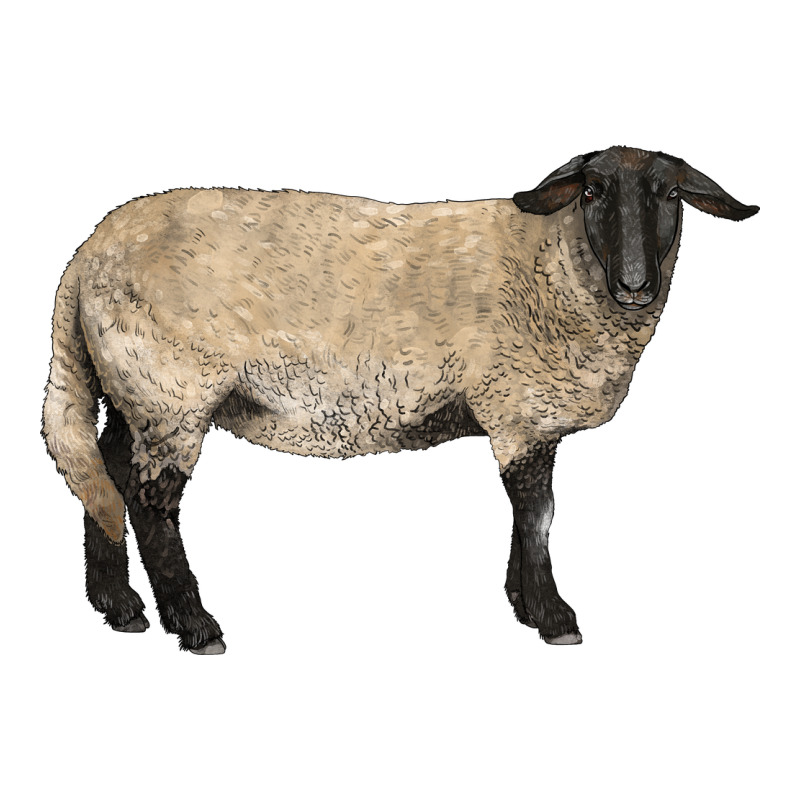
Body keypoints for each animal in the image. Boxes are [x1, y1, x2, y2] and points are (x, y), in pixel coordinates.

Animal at [42, 146, 758, 653]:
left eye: (671, 193)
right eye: (591, 190)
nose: (636, 285)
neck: (557, 261)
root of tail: (86, 257)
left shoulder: (522, 417)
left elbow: (526, 511)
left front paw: (521, 602)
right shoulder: (516, 407)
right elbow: (538, 513)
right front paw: (554, 617)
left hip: (127, 386)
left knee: (102, 472)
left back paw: (119, 607)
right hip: (172, 390)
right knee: (150, 503)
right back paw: (193, 624)